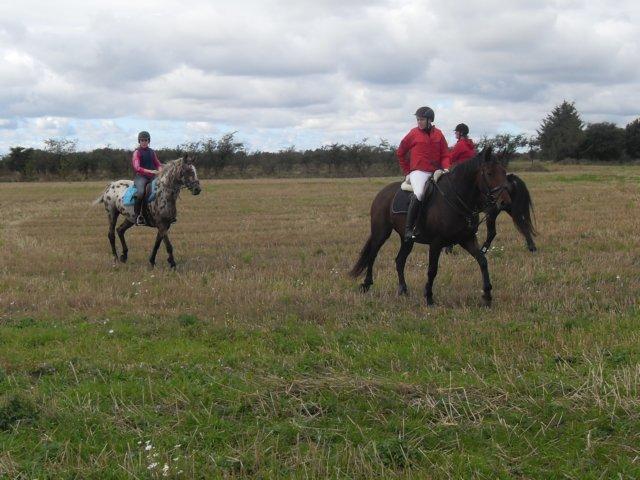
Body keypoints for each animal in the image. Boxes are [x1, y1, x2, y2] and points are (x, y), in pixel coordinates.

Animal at [350, 148, 510, 308]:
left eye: (504, 172)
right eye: (489, 173)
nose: (504, 202)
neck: (455, 198)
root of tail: (382, 192)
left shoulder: (467, 239)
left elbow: (482, 261)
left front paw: (487, 296)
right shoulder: (436, 243)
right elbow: (432, 269)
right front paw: (429, 297)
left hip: (407, 240)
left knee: (400, 260)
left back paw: (403, 289)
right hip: (381, 233)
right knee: (372, 255)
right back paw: (366, 284)